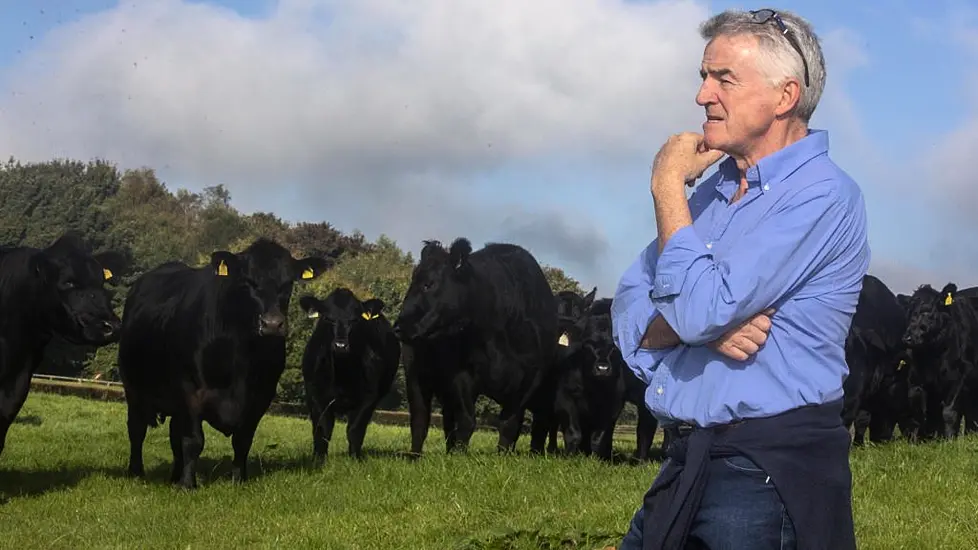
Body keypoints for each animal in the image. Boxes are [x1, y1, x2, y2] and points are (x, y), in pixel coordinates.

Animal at [117, 239, 332, 490]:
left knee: (173, 434)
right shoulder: (190, 390)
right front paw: (188, 485)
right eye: (247, 281)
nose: (272, 324)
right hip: (132, 387)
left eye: (288, 283)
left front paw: (238, 480)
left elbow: (243, 441)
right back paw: (136, 472)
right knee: (136, 428)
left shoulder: (261, 397)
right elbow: (193, 440)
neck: (241, 356)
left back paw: (174, 477)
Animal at [302, 292, 400, 464]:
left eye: (355, 320)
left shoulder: (369, 398)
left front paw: (354, 460)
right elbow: (322, 429)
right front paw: (318, 461)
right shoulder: (315, 394)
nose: (341, 345)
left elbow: (355, 429)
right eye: (327, 318)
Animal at [390, 238, 556, 458]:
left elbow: (510, 424)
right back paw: (416, 456)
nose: (398, 326)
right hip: (416, 375)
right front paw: (459, 456)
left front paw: (503, 456)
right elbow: (467, 420)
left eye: (428, 284)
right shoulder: (462, 375)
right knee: (420, 420)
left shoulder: (530, 379)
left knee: (446, 419)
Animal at [900, 284, 976, 440]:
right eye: (908, 313)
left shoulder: (960, 377)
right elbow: (919, 413)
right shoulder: (915, 380)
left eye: (927, 311)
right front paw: (917, 440)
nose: (907, 338)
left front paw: (949, 439)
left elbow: (949, 411)